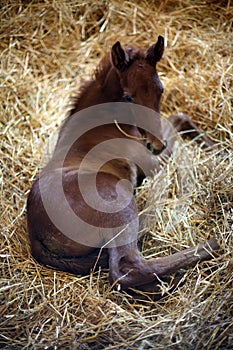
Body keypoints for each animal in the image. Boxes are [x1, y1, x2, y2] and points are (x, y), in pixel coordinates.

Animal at [27, 37, 218, 296]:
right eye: (128, 97)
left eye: (161, 89)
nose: (156, 144)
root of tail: (35, 233)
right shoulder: (152, 162)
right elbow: (177, 121)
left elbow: (178, 118)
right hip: (121, 207)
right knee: (127, 269)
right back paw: (207, 249)